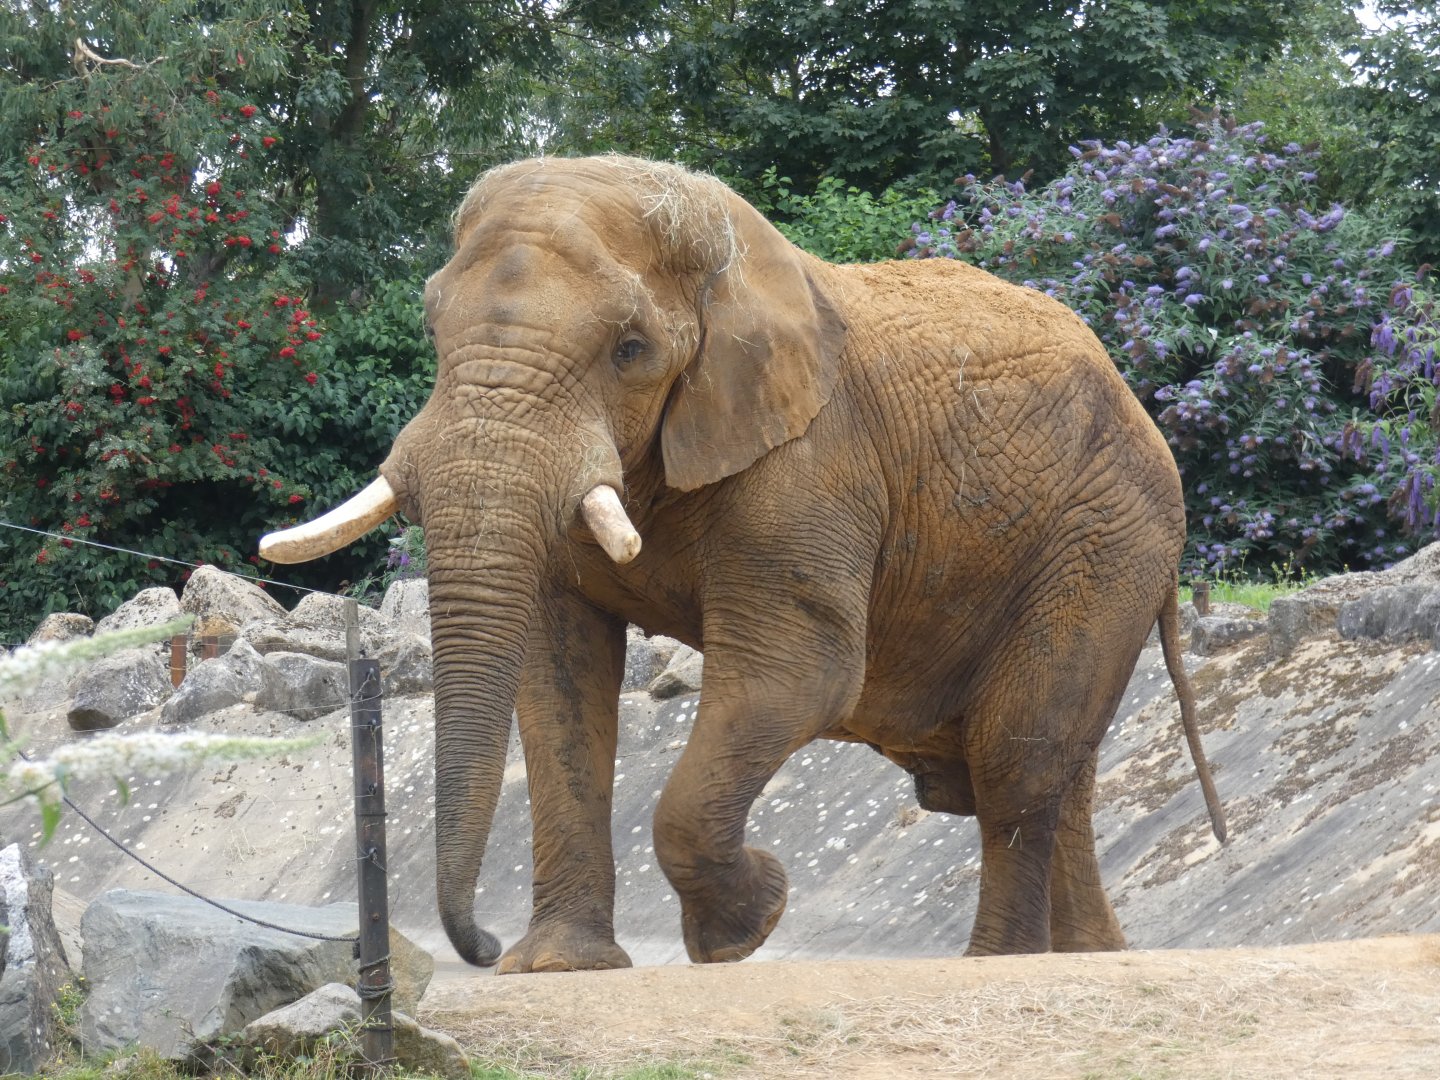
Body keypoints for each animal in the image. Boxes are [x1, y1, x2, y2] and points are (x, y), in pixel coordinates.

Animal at [261, 154, 1225, 973]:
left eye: (631, 349)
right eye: (431, 325)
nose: (482, 945)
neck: (722, 250)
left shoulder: (812, 465)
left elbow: (797, 671)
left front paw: (746, 926)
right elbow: (559, 676)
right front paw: (561, 967)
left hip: (1107, 539)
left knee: (1016, 756)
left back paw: (999, 965)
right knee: (1063, 769)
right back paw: (1094, 959)